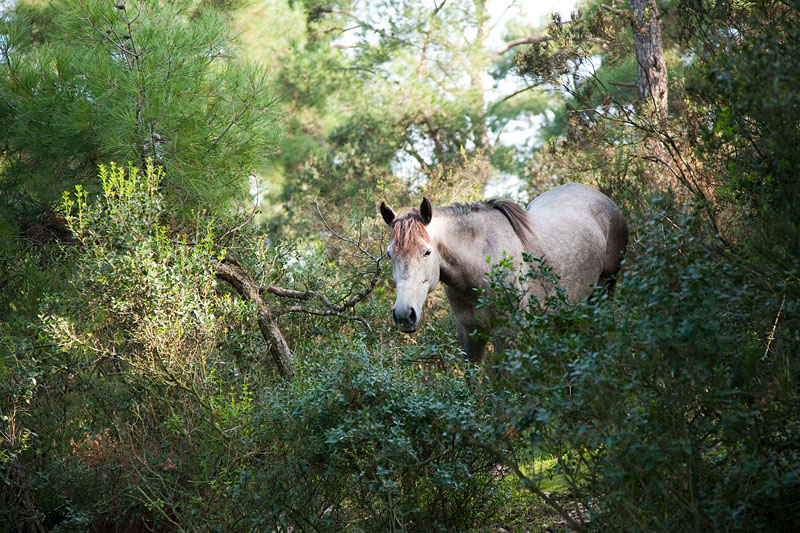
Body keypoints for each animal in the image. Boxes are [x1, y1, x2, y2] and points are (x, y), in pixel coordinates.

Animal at [378, 182, 628, 362]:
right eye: (390, 254)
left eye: (427, 252)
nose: (404, 315)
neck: (479, 268)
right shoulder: (470, 333)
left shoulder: (507, 332)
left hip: (604, 291)